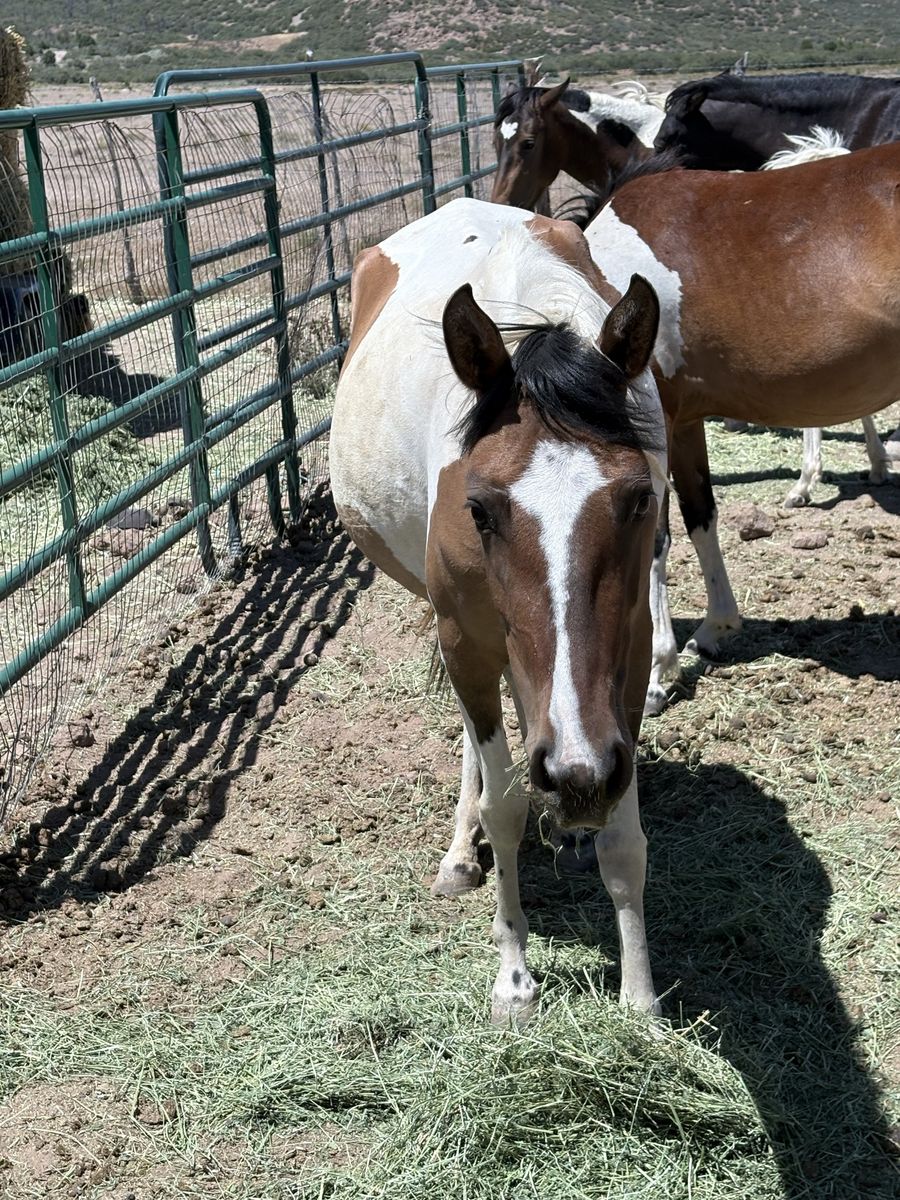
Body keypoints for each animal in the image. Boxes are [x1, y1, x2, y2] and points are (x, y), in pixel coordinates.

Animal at [329, 198, 667, 1023]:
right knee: (483, 747)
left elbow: (624, 835)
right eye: (478, 509)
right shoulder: (466, 642)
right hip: (466, 638)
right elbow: (504, 806)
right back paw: (464, 849)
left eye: (639, 498)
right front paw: (513, 977)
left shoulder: (628, 646)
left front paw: (639, 999)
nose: (577, 764)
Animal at [578, 144, 900, 711]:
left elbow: (655, 538)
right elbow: (700, 516)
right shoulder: (683, 422)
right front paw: (714, 629)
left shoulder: (654, 421)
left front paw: (656, 674)